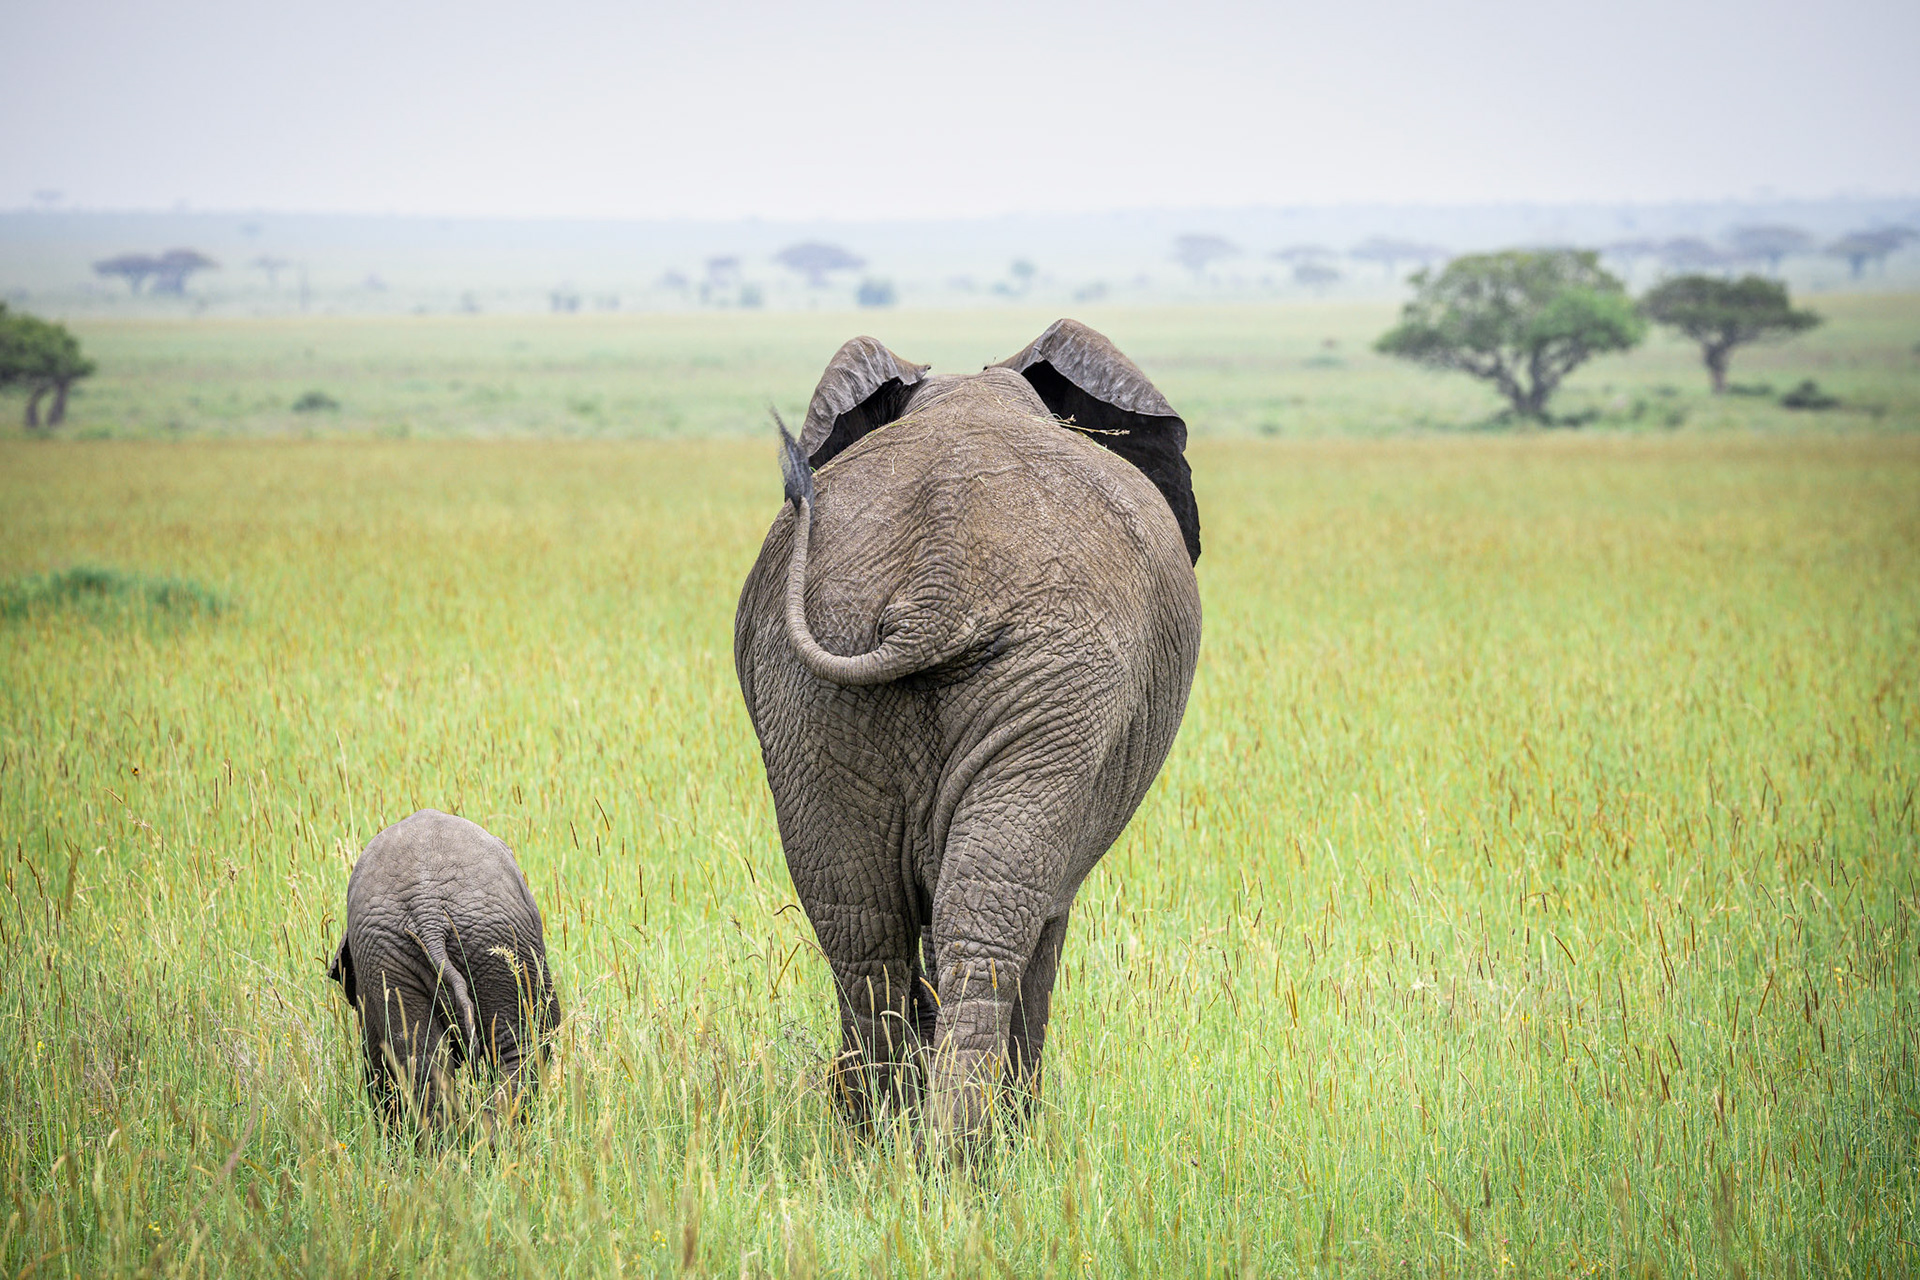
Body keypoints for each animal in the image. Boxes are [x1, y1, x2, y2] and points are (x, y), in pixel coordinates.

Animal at [734, 319, 1202, 1149]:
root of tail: (938, 574)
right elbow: (1047, 920)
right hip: (1061, 686)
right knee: (987, 926)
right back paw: (965, 1150)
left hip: (814, 690)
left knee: (863, 931)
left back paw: (880, 1140)